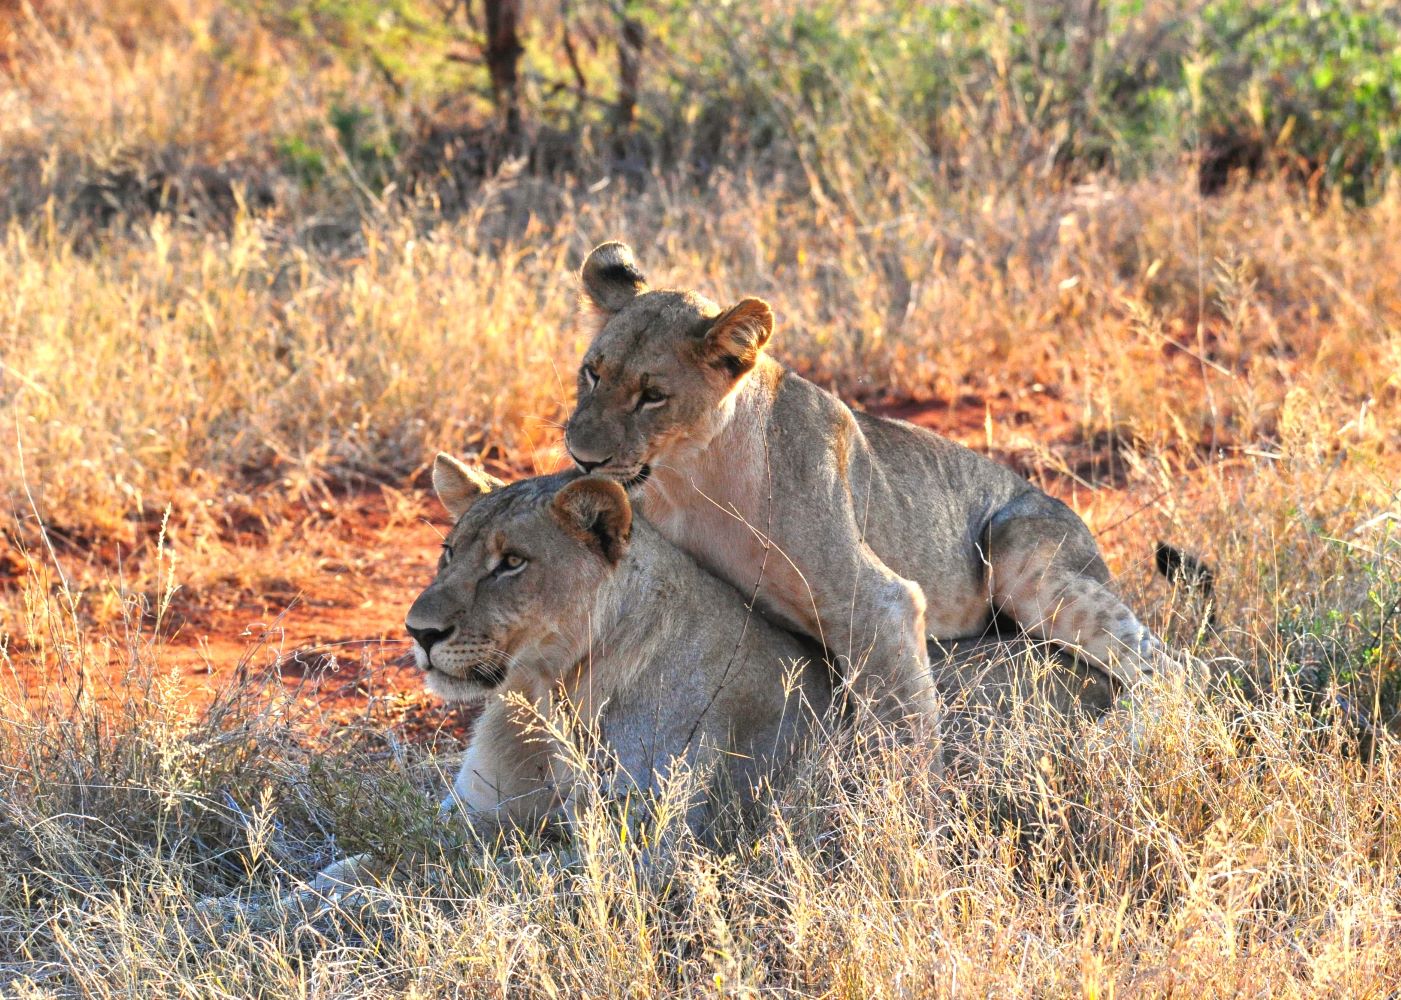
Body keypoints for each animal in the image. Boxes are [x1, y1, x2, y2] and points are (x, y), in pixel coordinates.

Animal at [563, 241, 1188, 735]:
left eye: (652, 396)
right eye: (592, 372)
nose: (580, 456)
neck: (690, 479)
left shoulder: (880, 601)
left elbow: (906, 727)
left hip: (1028, 559)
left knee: (1176, 669)